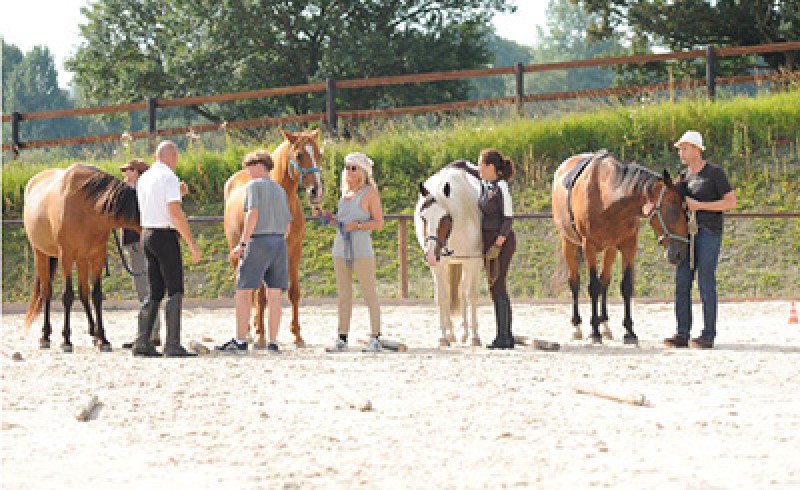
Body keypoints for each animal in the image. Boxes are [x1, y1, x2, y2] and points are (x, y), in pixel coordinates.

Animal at [23, 163, 141, 352]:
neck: (87, 206)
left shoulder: (97, 256)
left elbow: (96, 295)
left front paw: (103, 339)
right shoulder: (66, 256)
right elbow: (68, 296)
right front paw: (66, 340)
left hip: (81, 260)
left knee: (84, 292)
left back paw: (93, 333)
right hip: (41, 254)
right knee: (47, 292)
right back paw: (45, 336)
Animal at [223, 128, 323, 347]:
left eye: (319, 154)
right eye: (299, 155)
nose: (316, 191)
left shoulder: (294, 251)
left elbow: (294, 292)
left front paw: (297, 335)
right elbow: (262, 297)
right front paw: (261, 335)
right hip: (237, 252)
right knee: (247, 290)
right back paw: (250, 332)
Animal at [414, 165, 483, 347]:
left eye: (445, 218)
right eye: (423, 217)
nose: (431, 255)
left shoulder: (474, 262)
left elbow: (471, 295)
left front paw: (475, 336)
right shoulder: (438, 265)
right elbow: (442, 297)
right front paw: (442, 337)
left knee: (462, 292)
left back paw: (465, 333)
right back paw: (451, 333)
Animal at [551, 150, 689, 345]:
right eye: (672, 209)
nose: (680, 253)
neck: (607, 198)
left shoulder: (628, 245)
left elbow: (625, 286)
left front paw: (629, 331)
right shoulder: (589, 247)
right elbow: (592, 287)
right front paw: (594, 332)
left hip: (610, 250)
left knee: (604, 281)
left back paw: (605, 325)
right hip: (568, 243)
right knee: (575, 283)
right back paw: (577, 326)